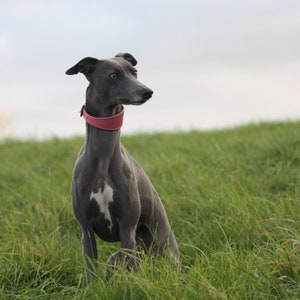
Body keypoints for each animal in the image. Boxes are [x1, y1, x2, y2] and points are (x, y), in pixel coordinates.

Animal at [65, 52, 178, 284]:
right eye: (113, 75)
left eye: (135, 72)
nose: (147, 91)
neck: (103, 157)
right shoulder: (86, 229)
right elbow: (91, 269)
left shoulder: (128, 227)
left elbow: (130, 267)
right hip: (115, 257)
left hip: (160, 249)